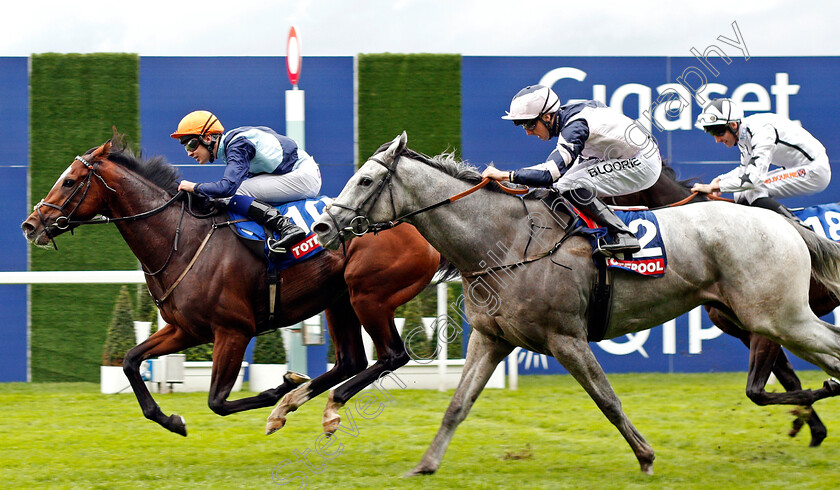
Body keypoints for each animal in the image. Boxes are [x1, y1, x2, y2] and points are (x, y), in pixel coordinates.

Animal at [19, 137, 442, 436]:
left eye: (69, 181)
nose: (30, 225)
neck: (181, 240)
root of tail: (417, 227)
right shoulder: (185, 329)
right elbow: (130, 360)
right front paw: (171, 420)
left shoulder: (233, 331)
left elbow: (218, 402)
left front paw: (278, 389)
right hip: (338, 300)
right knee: (351, 361)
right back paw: (301, 403)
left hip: (368, 295)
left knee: (392, 355)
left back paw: (308, 403)